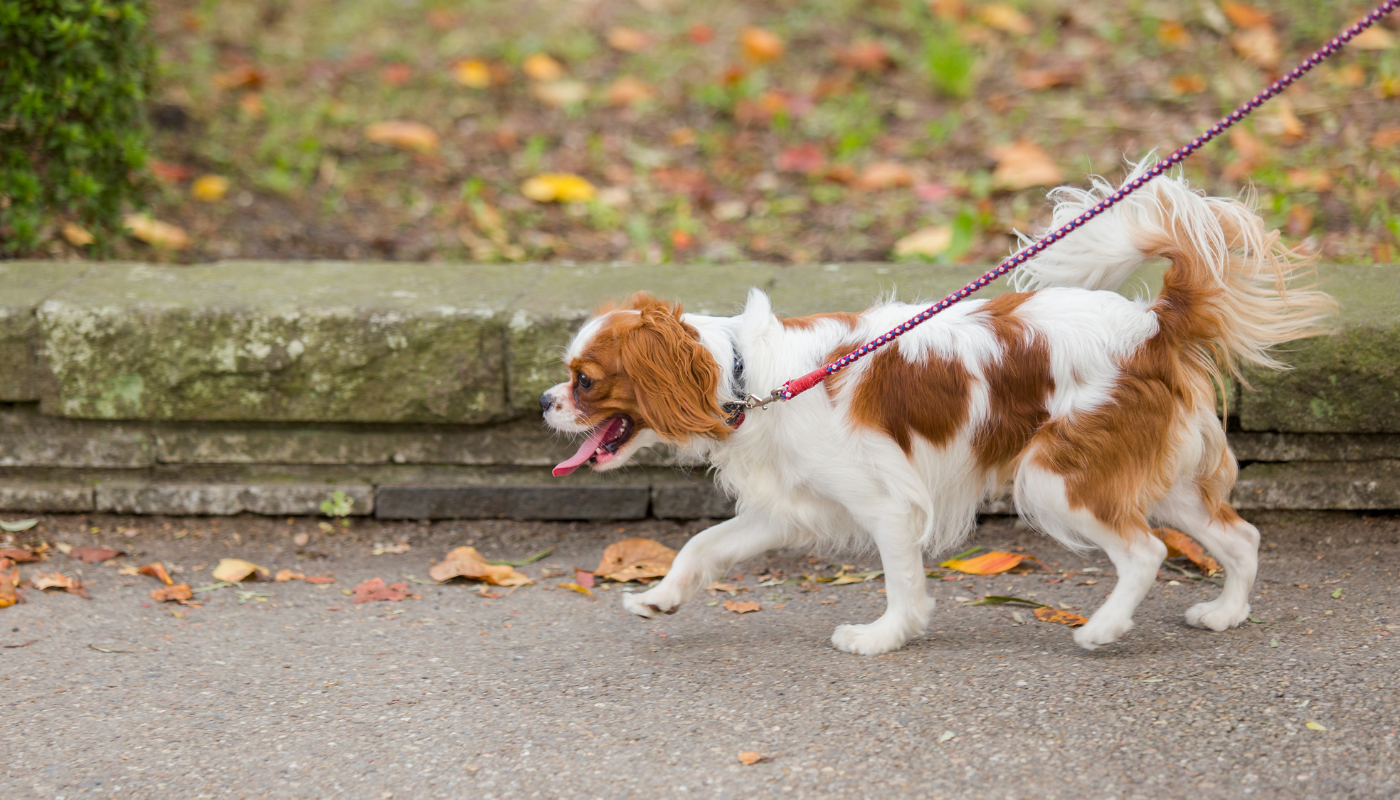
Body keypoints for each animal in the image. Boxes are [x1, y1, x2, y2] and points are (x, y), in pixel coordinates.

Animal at [537, 166, 1332, 652]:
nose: (544, 401)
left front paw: (884, 636)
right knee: (1239, 537)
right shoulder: (785, 509)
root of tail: (1151, 324)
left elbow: (903, 579)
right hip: (1160, 477)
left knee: (1146, 551)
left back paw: (1102, 630)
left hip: (1057, 478)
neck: (747, 376)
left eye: (584, 380)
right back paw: (1225, 613)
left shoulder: (887, 504)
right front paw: (661, 599)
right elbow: (703, 546)